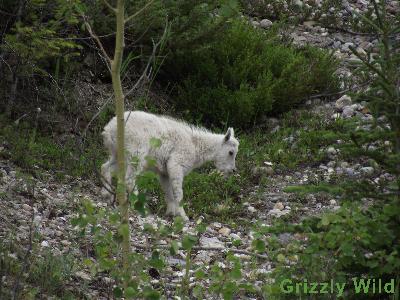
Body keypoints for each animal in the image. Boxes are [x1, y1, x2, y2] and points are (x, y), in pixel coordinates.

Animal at [101, 110, 238, 220]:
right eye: (231, 152)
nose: (233, 170)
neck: (195, 146)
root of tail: (109, 129)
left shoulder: (164, 173)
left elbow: (169, 193)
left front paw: (171, 213)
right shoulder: (176, 165)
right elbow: (178, 193)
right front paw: (183, 216)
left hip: (119, 155)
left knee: (105, 167)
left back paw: (107, 195)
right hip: (137, 153)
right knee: (129, 179)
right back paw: (140, 206)